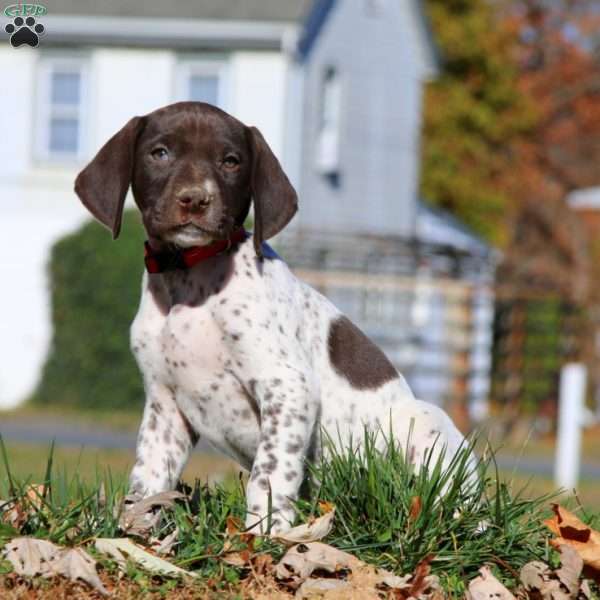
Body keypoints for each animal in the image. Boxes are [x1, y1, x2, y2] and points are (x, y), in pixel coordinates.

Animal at [72, 103, 472, 536]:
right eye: (159, 153)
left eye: (230, 161)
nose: (195, 199)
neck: (189, 281)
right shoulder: (165, 404)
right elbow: (148, 477)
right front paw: (133, 529)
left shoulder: (287, 387)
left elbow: (269, 473)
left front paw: (264, 534)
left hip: (424, 421)